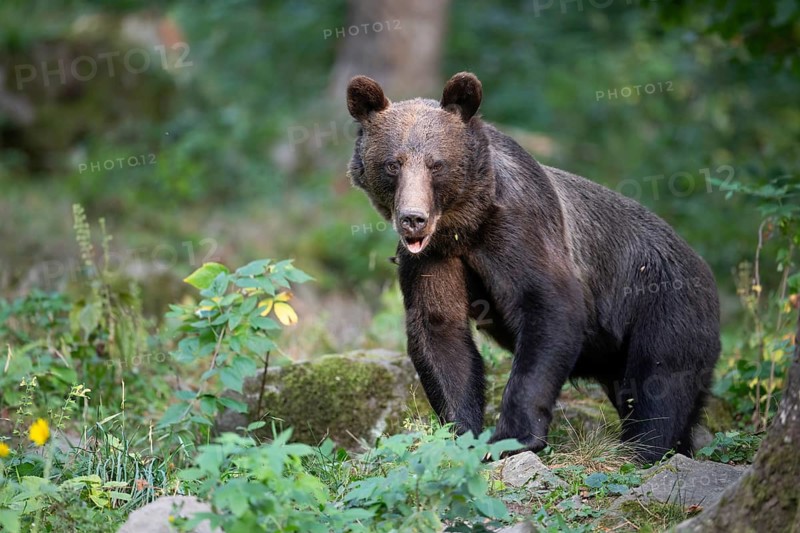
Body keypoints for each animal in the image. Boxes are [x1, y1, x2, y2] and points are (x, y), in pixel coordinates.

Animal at [346, 72, 721, 463]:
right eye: (393, 164)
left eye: (437, 164)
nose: (413, 219)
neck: (465, 225)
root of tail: (703, 267)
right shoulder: (434, 258)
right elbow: (439, 329)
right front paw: (462, 434)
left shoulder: (522, 230)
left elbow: (549, 307)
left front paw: (514, 436)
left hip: (663, 305)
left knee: (660, 384)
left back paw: (645, 449)